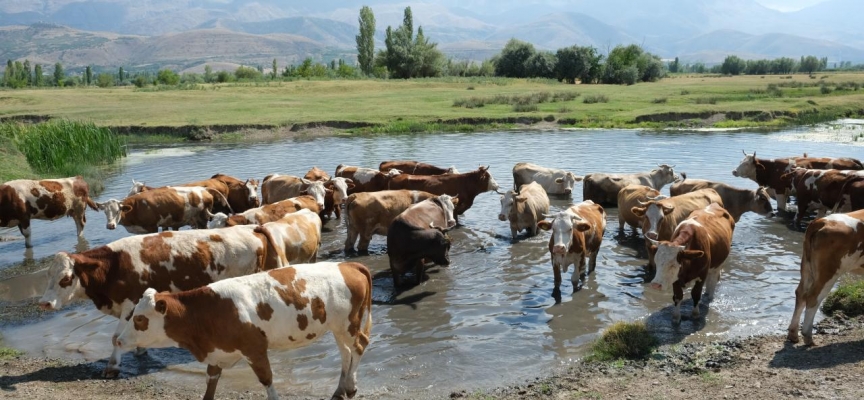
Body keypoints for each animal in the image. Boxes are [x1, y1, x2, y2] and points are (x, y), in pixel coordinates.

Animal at [38, 227, 284, 376]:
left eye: (65, 278)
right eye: (47, 276)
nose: (45, 303)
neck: (115, 266)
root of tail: (251, 227)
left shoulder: (131, 303)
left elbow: (116, 337)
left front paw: (112, 367)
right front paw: (139, 350)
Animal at [97, 187, 230, 234]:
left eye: (117, 211)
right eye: (105, 212)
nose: (110, 225)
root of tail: (203, 189)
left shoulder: (152, 227)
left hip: (203, 219)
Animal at [115, 262, 372, 400]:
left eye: (139, 318)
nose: (118, 340)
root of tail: (348, 265)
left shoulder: (254, 349)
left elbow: (267, 380)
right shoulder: (217, 353)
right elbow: (210, 385)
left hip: (348, 323)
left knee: (359, 346)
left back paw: (350, 387)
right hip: (338, 327)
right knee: (345, 352)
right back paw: (341, 388)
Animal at [728, 151, 864, 212]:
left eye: (746, 164)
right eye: (740, 161)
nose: (734, 171)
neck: (772, 169)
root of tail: (852, 160)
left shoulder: (780, 191)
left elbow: (781, 209)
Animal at [788, 211, 864, 346]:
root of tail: (822, 221)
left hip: (807, 268)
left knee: (800, 293)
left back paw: (793, 334)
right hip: (828, 271)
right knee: (813, 298)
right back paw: (808, 336)